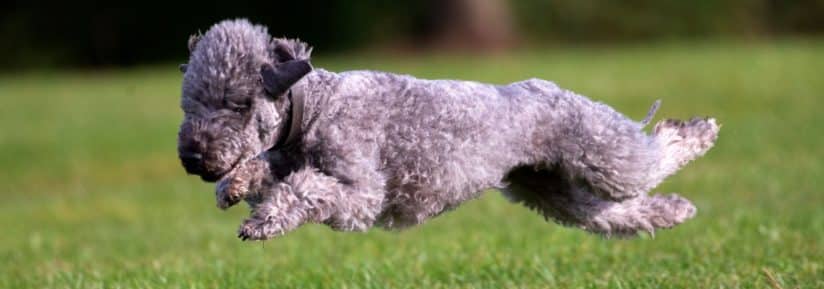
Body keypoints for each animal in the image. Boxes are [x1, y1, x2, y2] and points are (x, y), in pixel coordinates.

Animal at [177, 19, 716, 240]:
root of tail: (550, 87)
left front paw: (263, 220)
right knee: (616, 214)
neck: (315, 108)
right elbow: (269, 170)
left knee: (653, 156)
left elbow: (306, 189)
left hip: (601, 152)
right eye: (190, 102)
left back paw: (699, 131)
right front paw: (235, 185)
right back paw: (677, 211)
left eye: (237, 103)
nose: (193, 158)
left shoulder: (362, 193)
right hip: (549, 188)